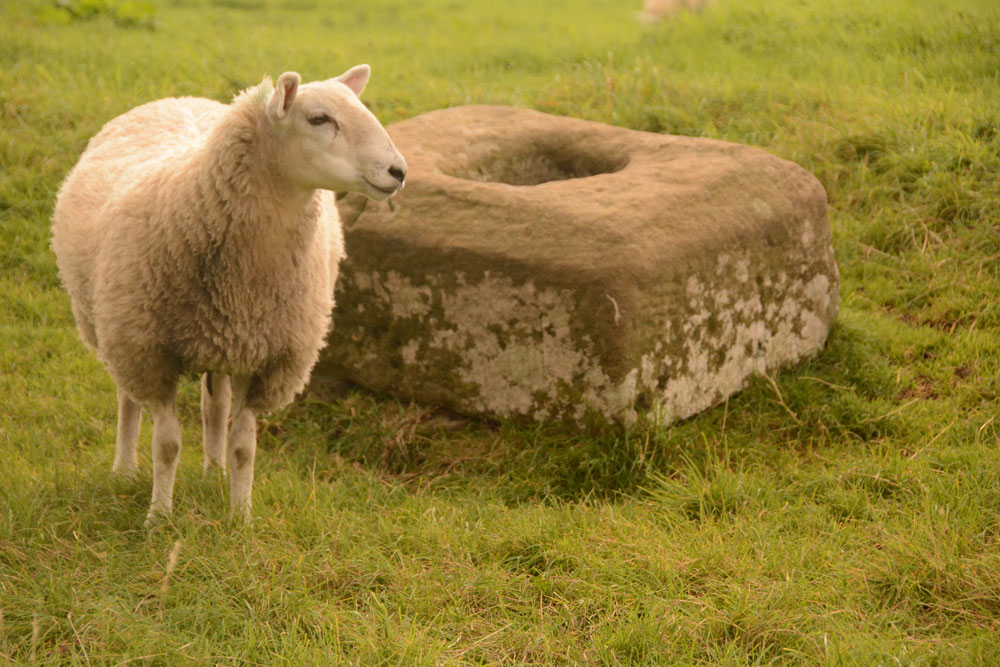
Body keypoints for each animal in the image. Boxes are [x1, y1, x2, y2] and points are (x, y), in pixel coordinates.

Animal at [51, 65, 406, 520]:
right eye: (319, 119)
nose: (398, 172)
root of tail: (177, 99)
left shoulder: (267, 360)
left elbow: (244, 447)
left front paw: (241, 517)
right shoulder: (151, 353)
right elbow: (167, 444)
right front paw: (158, 517)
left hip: (220, 344)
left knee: (214, 406)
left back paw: (213, 474)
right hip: (118, 328)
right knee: (128, 399)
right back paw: (125, 470)